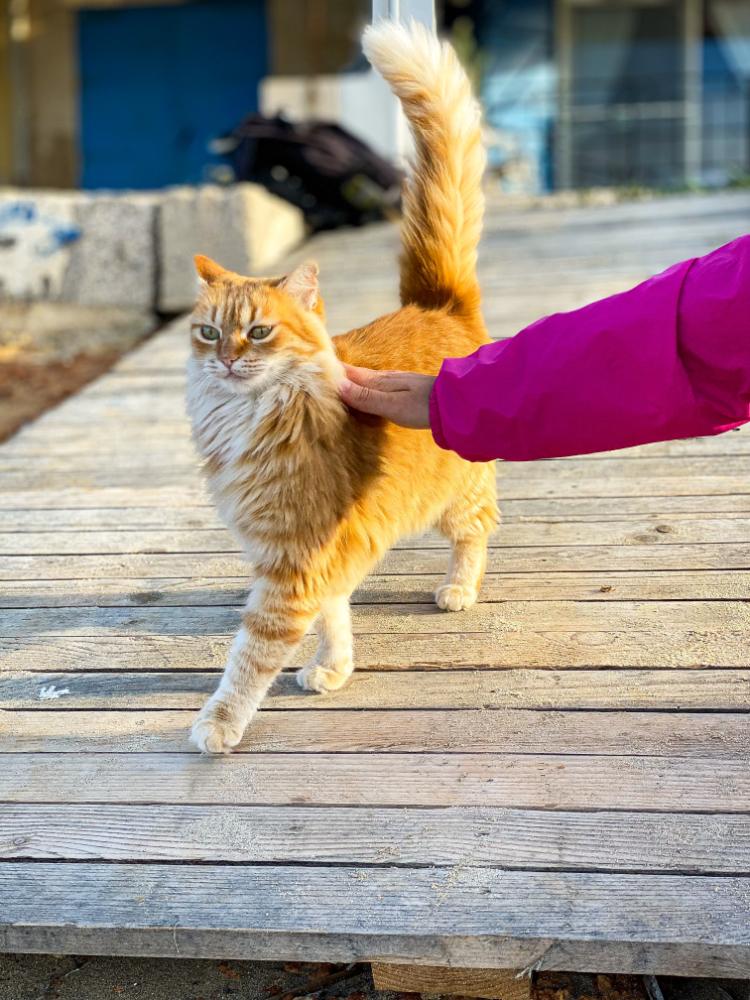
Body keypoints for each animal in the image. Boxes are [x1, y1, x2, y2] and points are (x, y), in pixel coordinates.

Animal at [187, 19, 500, 752]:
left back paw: (459, 589)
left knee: (478, 529)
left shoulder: (292, 562)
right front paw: (334, 668)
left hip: (457, 494)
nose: (228, 361)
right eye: (210, 333)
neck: (244, 420)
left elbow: (249, 656)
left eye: (260, 333)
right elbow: (334, 616)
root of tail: (434, 304)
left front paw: (217, 725)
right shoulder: (308, 557)